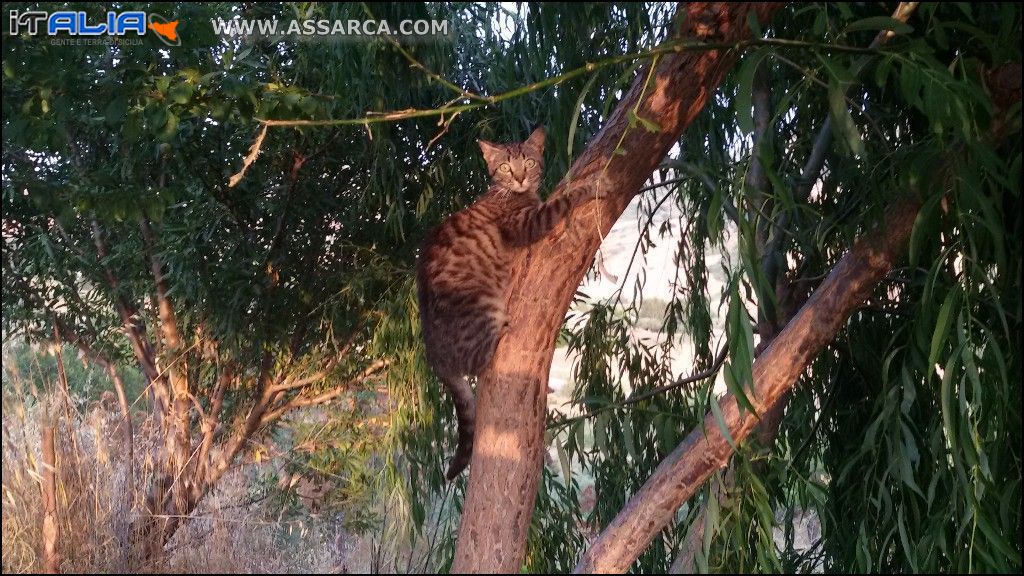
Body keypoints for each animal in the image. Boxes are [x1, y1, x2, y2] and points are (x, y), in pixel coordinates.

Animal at [415, 126, 602, 479]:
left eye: (527, 162)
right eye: (504, 166)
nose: (518, 177)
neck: (507, 194)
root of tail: (435, 357)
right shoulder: (527, 222)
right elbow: (560, 201)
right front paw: (587, 186)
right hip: (482, 306)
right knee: (479, 361)